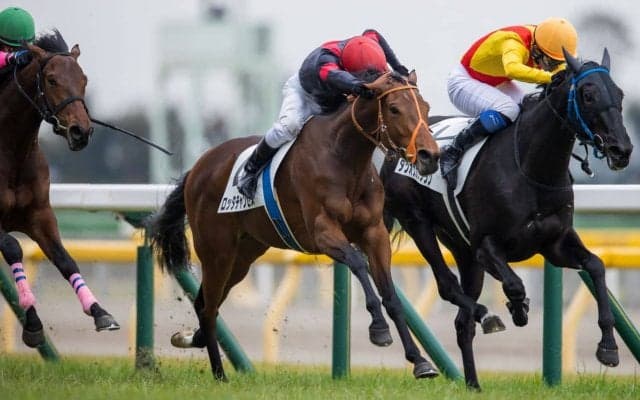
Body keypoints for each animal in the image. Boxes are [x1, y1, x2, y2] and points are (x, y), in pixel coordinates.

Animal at [0, 30, 119, 348]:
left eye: (84, 79)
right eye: (52, 79)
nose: (81, 132)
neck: (11, 150)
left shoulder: (39, 214)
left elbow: (65, 260)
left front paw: (99, 311)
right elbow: (13, 248)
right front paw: (32, 322)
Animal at [149, 71, 441, 381]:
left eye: (426, 107)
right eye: (394, 108)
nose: (430, 156)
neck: (343, 157)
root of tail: (198, 167)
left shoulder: (374, 233)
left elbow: (391, 294)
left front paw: (420, 361)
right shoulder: (323, 231)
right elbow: (358, 264)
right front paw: (379, 329)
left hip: (243, 256)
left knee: (206, 304)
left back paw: (193, 339)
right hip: (217, 251)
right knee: (208, 307)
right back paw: (219, 374)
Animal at [380, 49, 632, 389]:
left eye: (619, 93)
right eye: (588, 94)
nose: (622, 149)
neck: (531, 169)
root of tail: (394, 151)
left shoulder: (555, 244)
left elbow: (596, 266)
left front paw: (608, 347)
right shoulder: (487, 246)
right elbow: (514, 284)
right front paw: (518, 309)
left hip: (462, 250)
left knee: (462, 323)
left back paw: (473, 384)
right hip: (417, 222)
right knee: (447, 286)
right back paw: (488, 318)